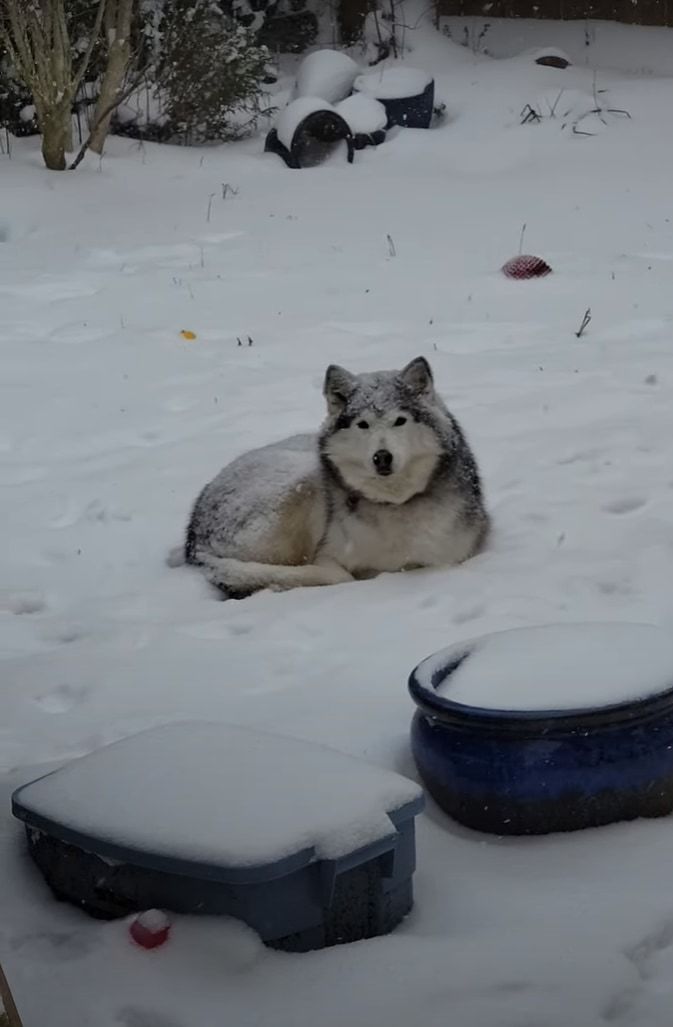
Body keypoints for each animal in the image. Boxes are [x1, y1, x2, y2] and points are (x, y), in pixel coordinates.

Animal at [183, 357, 489, 599]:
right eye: (362, 425)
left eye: (399, 421)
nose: (382, 457)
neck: (393, 503)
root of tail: (194, 535)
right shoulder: (329, 556)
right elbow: (337, 571)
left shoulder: (447, 556)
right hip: (304, 481)